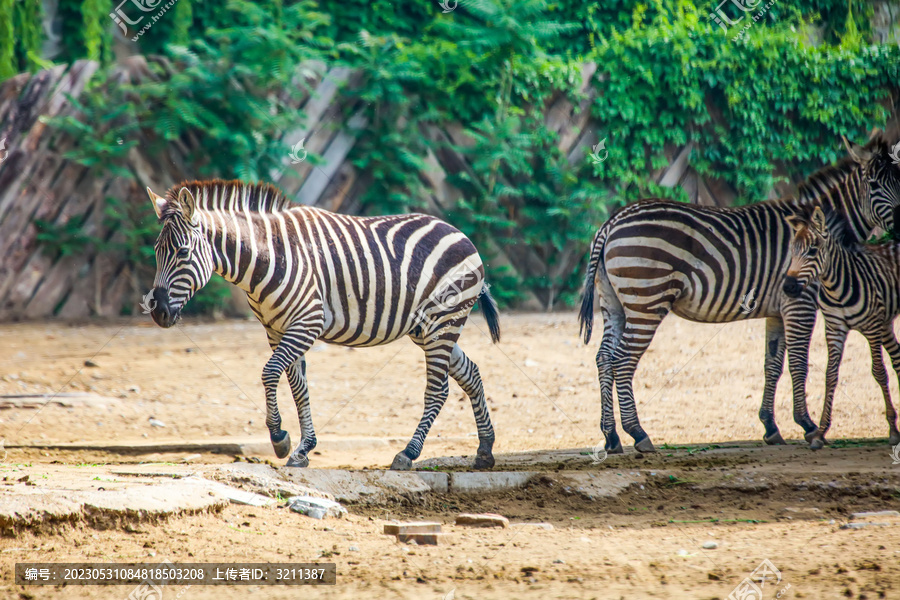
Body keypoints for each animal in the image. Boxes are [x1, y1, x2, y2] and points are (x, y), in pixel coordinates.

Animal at [144, 180, 502, 472]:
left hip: (443, 321)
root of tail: (457, 231)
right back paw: (485, 450)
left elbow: (269, 373)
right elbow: (298, 388)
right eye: (157, 252)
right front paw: (303, 449)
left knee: (437, 390)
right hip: (426, 329)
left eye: (183, 252)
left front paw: (279, 438)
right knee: (471, 373)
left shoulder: (308, 323)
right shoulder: (277, 330)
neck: (266, 258)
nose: (157, 312)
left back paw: (409, 453)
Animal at [780, 206, 900, 450]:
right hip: (886, 324)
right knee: (899, 359)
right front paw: (820, 432)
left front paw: (893, 430)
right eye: (793, 251)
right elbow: (831, 375)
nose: (788, 287)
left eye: (813, 250)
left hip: (881, 325)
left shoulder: (872, 327)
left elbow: (879, 372)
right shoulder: (835, 328)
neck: (836, 288)